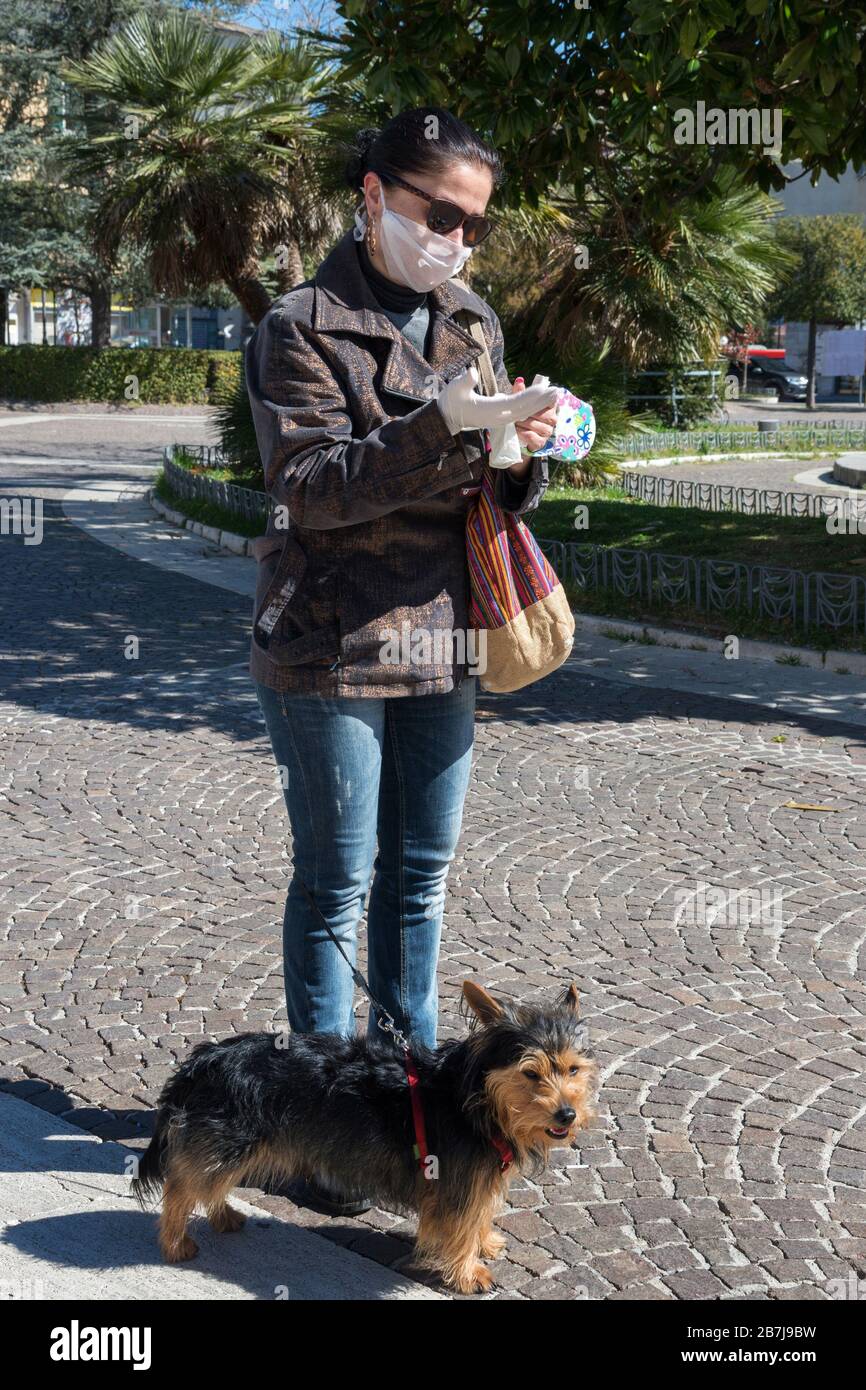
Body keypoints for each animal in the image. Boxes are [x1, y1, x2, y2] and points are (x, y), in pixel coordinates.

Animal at [134, 978, 594, 1289]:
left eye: (573, 1069)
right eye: (531, 1073)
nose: (568, 1114)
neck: (475, 1099)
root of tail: (204, 1059)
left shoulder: (478, 1177)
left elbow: (480, 1215)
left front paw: (485, 1243)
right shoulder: (456, 1183)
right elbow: (461, 1224)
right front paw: (468, 1272)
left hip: (236, 1144)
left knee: (210, 1183)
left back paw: (223, 1216)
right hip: (228, 1139)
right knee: (182, 1187)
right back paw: (174, 1242)